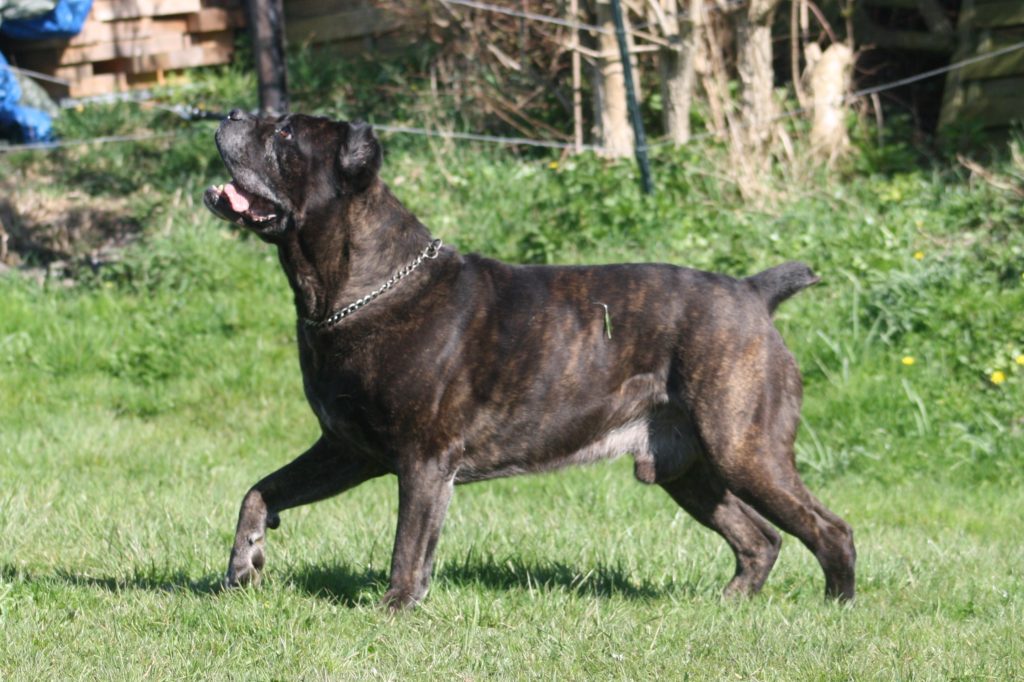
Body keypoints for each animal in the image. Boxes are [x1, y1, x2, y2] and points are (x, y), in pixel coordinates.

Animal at [201, 110, 856, 606]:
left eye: (285, 133)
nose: (229, 114)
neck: (357, 286)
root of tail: (752, 291)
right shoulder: (346, 448)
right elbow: (260, 491)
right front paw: (243, 564)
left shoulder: (423, 462)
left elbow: (409, 547)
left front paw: (394, 609)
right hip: (689, 470)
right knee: (760, 538)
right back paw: (731, 602)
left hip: (744, 450)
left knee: (830, 528)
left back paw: (836, 606)